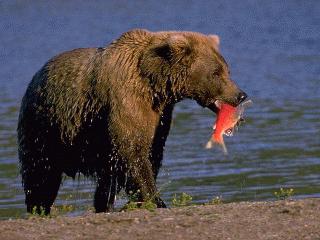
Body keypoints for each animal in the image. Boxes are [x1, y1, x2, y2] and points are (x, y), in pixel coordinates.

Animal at [16, 29, 248, 215]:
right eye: (216, 73)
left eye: (227, 69)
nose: (241, 94)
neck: (155, 85)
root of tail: (36, 76)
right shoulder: (126, 100)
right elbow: (133, 151)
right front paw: (156, 200)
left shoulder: (160, 115)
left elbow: (151, 152)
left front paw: (138, 200)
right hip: (45, 128)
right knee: (40, 174)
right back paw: (39, 209)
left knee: (105, 179)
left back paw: (102, 206)